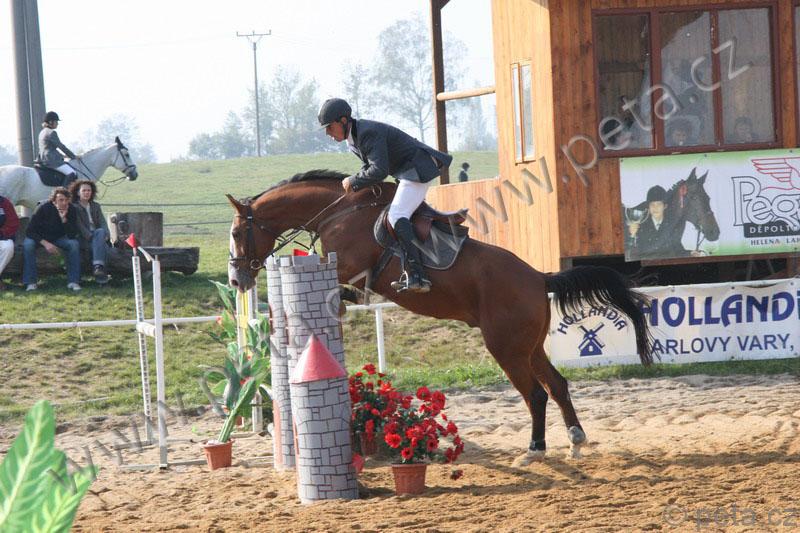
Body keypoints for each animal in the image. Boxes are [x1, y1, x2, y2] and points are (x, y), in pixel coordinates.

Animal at [226, 170, 654, 464]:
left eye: (235, 233)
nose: (236, 280)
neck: (337, 213)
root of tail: (538, 276)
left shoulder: (350, 269)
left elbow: (344, 291)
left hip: (506, 347)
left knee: (535, 393)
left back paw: (535, 449)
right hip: (529, 346)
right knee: (558, 385)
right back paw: (575, 440)